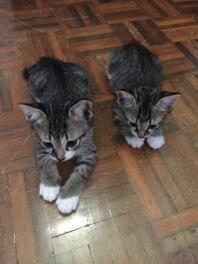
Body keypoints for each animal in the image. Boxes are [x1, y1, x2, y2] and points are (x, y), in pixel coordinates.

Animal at [19, 57, 96, 214]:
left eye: (71, 143)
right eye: (48, 144)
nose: (60, 159)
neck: (60, 101)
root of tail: (51, 60)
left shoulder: (89, 148)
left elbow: (81, 172)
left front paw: (67, 198)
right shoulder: (40, 146)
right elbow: (45, 161)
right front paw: (49, 186)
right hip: (34, 84)